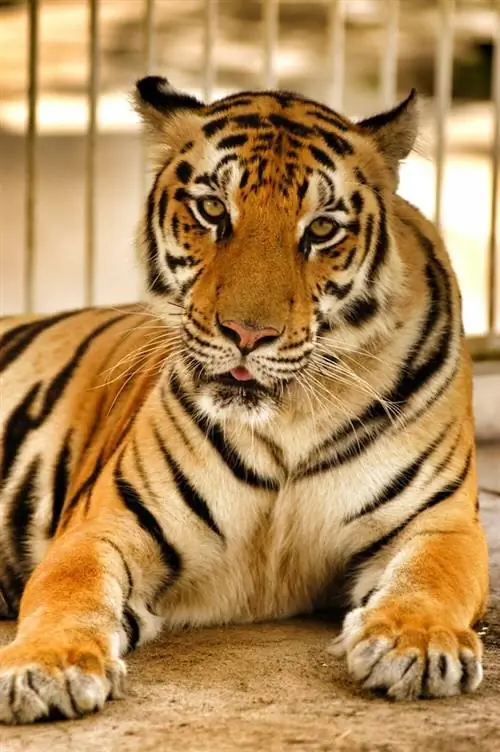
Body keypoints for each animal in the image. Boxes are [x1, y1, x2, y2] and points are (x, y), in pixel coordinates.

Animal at [0, 75, 489, 724]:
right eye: (212, 210)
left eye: (322, 229)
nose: (247, 334)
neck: (290, 417)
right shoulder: (106, 524)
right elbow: (67, 590)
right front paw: (45, 666)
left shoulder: (440, 519)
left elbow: (433, 576)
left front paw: (418, 643)